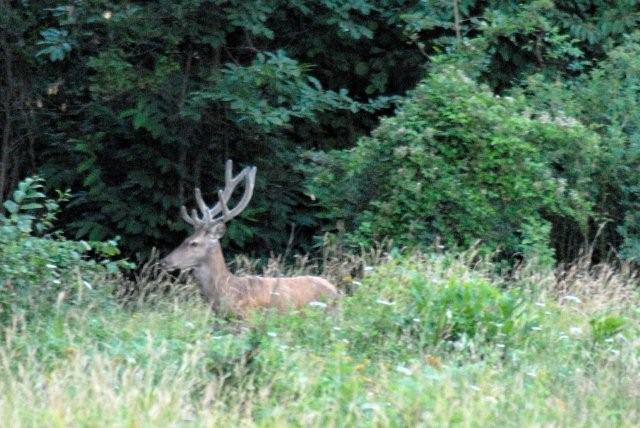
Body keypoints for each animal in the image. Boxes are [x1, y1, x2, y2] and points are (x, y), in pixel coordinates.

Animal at [160, 159, 338, 316]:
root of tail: (337, 291)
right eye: (184, 239)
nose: (164, 261)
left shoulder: (247, 320)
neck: (229, 292)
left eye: (194, 243)